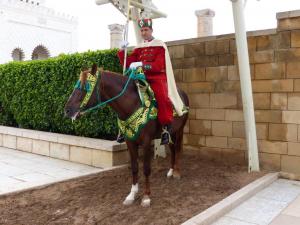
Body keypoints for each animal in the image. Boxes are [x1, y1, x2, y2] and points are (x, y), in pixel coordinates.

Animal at [64, 64, 189, 207]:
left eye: (85, 87)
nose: (67, 110)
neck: (132, 104)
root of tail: (182, 93)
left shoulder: (146, 142)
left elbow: (146, 168)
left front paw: (146, 196)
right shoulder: (130, 142)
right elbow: (134, 167)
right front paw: (132, 194)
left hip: (179, 130)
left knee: (177, 148)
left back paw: (177, 172)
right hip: (170, 133)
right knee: (173, 149)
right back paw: (171, 171)